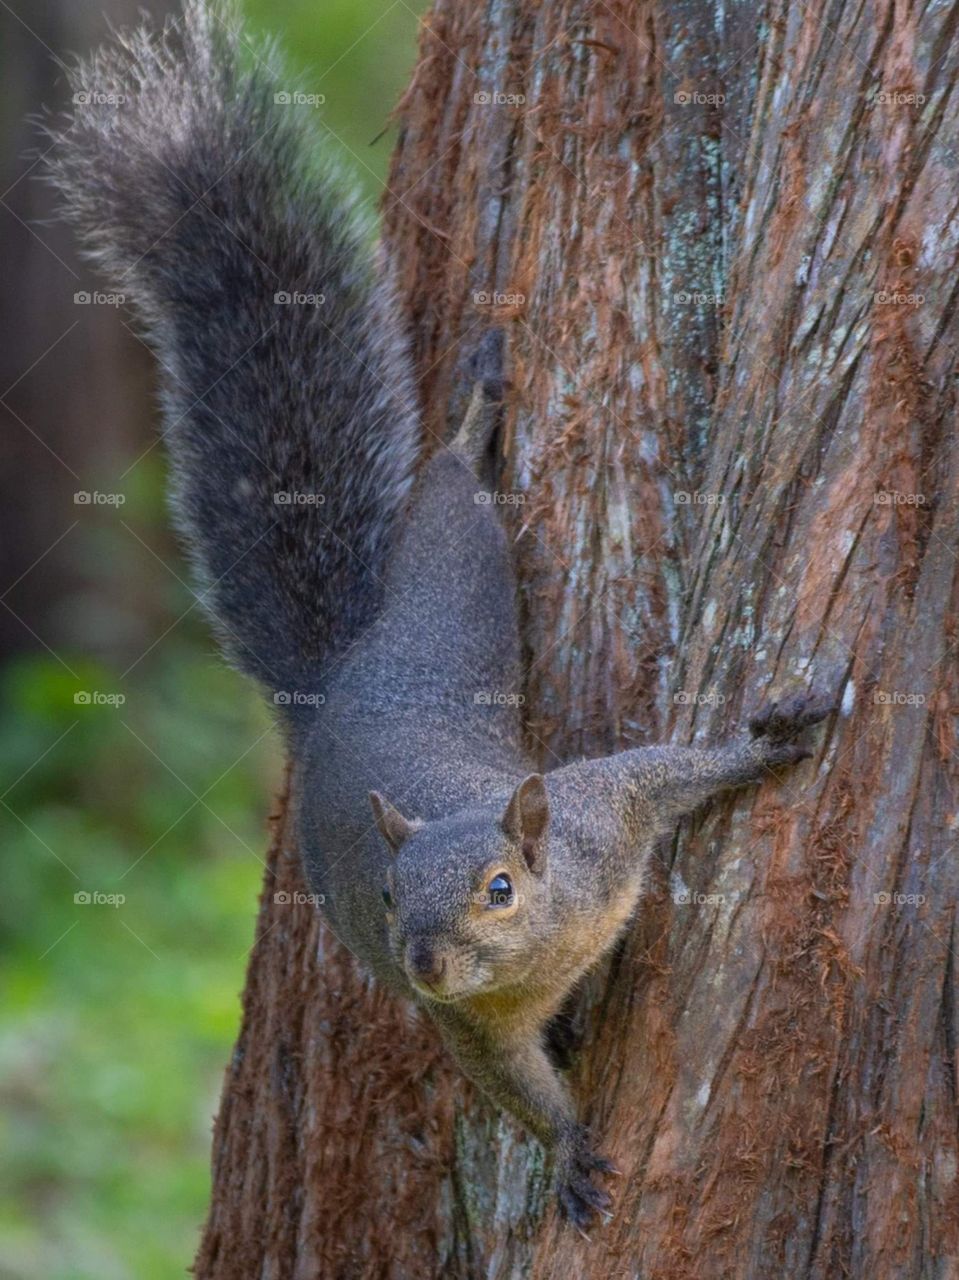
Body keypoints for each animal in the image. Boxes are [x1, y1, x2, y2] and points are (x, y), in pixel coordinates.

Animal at [49, 0, 835, 1229]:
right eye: (385, 894)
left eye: (499, 887)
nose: (419, 961)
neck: (543, 943)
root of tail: (346, 679)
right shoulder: (466, 1028)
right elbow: (509, 1087)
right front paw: (567, 1147)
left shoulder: (599, 814)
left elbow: (666, 773)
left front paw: (762, 744)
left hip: (454, 587)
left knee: (451, 499)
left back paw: (468, 423)